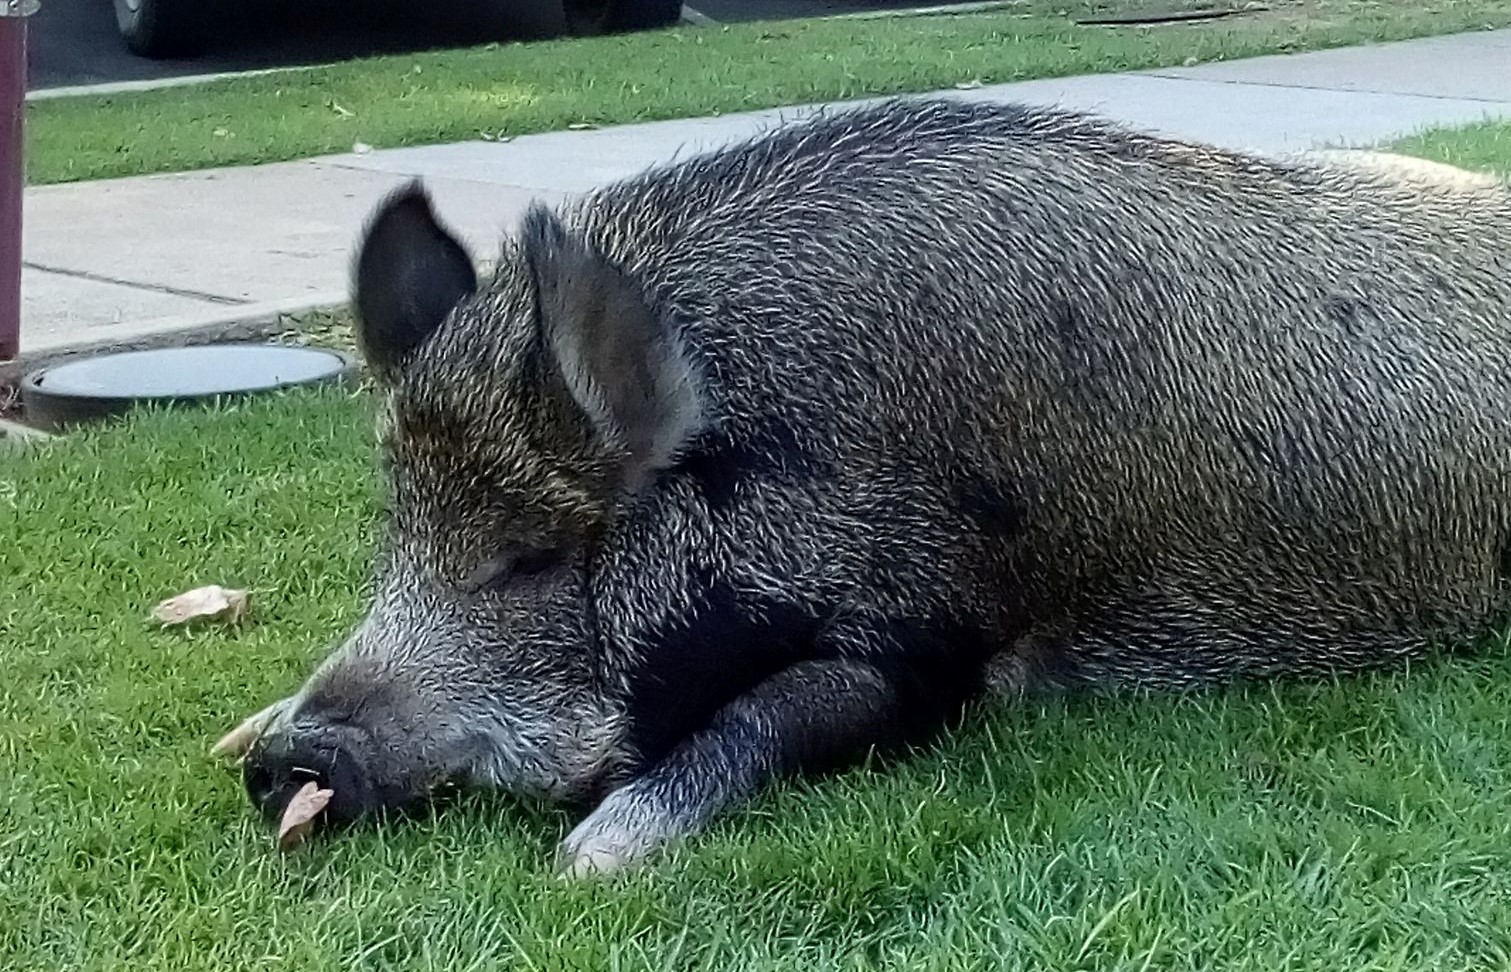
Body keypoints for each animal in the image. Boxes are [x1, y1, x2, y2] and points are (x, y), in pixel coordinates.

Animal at [220, 95, 1511, 876]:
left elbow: (766, 717)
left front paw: (589, 861)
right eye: (393, 535)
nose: (284, 758)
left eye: (527, 556)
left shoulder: (934, 648)